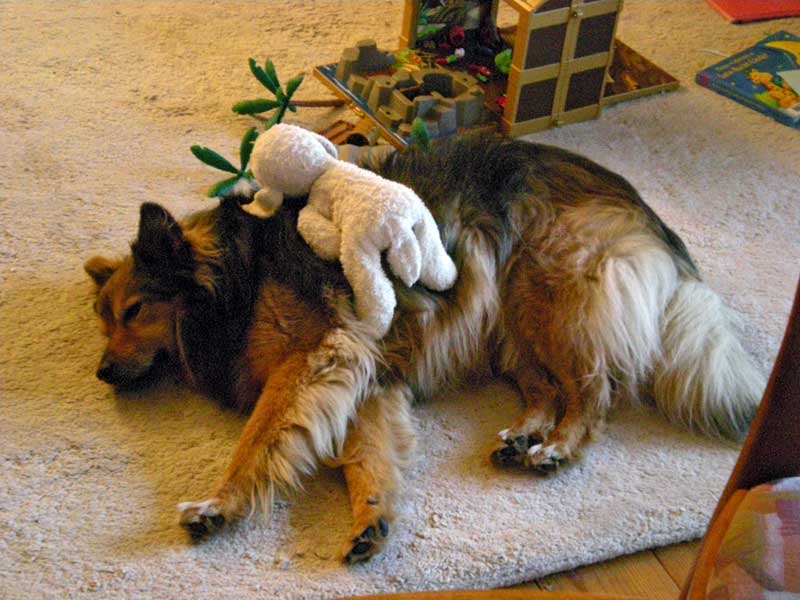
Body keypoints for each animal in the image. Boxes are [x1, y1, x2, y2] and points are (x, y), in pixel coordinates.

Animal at [84, 133, 764, 563]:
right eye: (103, 320)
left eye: (135, 311)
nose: (102, 373)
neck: (236, 278)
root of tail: (640, 206)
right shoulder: (364, 378)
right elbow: (367, 458)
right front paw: (371, 520)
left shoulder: (315, 359)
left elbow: (259, 440)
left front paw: (218, 506)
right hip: (510, 323)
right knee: (547, 386)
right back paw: (523, 435)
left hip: (551, 293)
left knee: (595, 390)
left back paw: (558, 448)